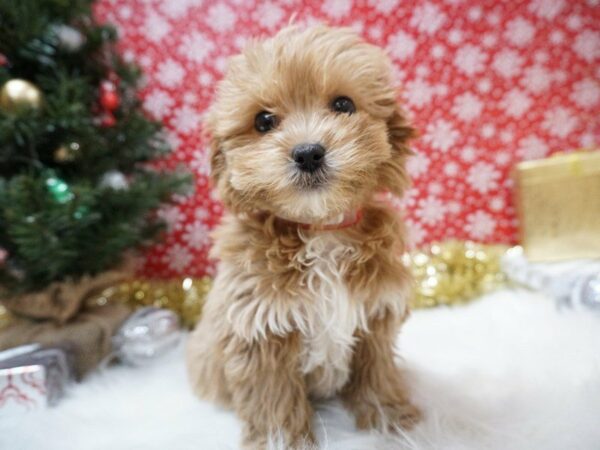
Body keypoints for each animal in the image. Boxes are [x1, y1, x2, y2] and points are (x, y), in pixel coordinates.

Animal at [189, 25, 422, 450]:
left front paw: (390, 420)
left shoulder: (375, 314)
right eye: (263, 121)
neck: (321, 229)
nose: (309, 153)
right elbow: (273, 397)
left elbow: (376, 372)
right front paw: (281, 440)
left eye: (343, 104)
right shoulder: (259, 328)